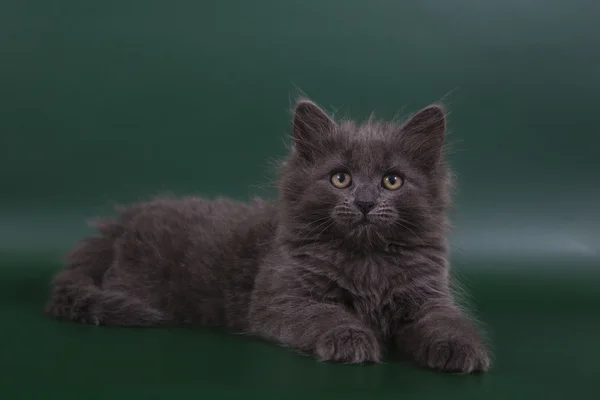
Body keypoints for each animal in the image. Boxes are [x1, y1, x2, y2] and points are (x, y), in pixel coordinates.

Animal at [48, 98, 492, 374]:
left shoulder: (428, 295)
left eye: (392, 181)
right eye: (341, 178)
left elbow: (447, 321)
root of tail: (121, 221)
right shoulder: (283, 299)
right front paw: (352, 340)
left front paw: (461, 349)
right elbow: (327, 315)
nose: (365, 202)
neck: (366, 261)